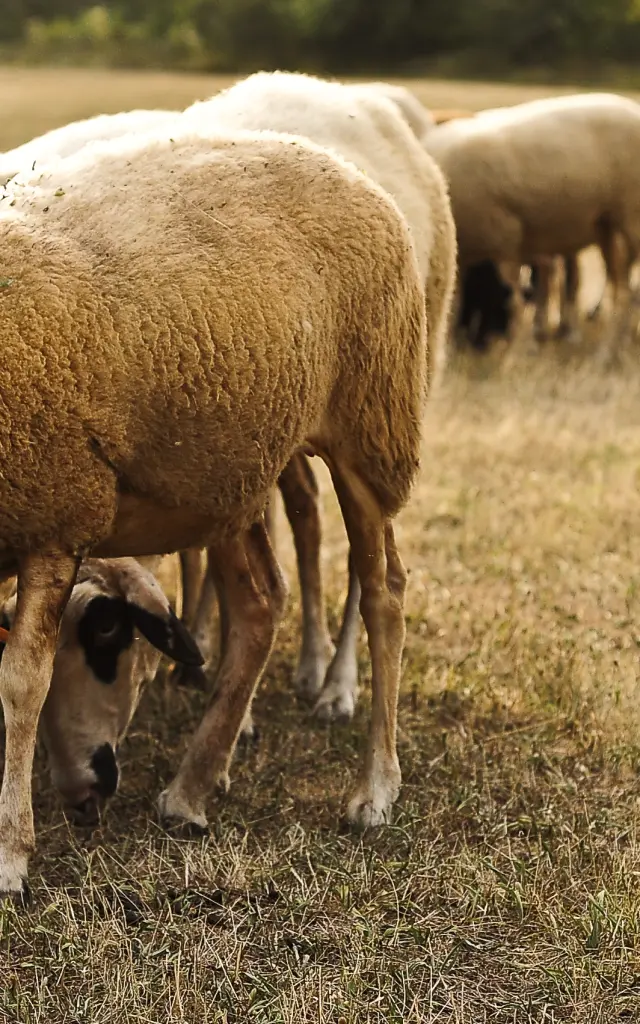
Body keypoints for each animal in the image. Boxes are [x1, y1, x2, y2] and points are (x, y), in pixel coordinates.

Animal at [0, 121, 429, 899]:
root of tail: (335, 159)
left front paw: (10, 855)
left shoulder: (55, 513)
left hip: (368, 425)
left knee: (383, 590)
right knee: (260, 602)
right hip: (227, 468)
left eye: (108, 640)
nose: (85, 793)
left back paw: (373, 788)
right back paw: (194, 787)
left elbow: (20, 686)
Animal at [423, 93, 640, 348]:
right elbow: (453, 307)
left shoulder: (505, 240)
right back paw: (613, 345)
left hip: (632, 216)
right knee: (622, 291)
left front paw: (517, 349)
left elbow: (515, 302)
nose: (479, 345)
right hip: (606, 226)